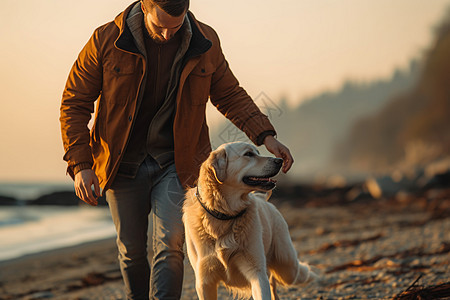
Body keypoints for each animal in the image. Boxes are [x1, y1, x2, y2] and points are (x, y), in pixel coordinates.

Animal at [182, 142, 316, 298]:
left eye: (257, 152)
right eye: (248, 154)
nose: (279, 160)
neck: (225, 215)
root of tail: (261, 197)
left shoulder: (256, 272)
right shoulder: (204, 281)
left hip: (287, 264)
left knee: (294, 272)